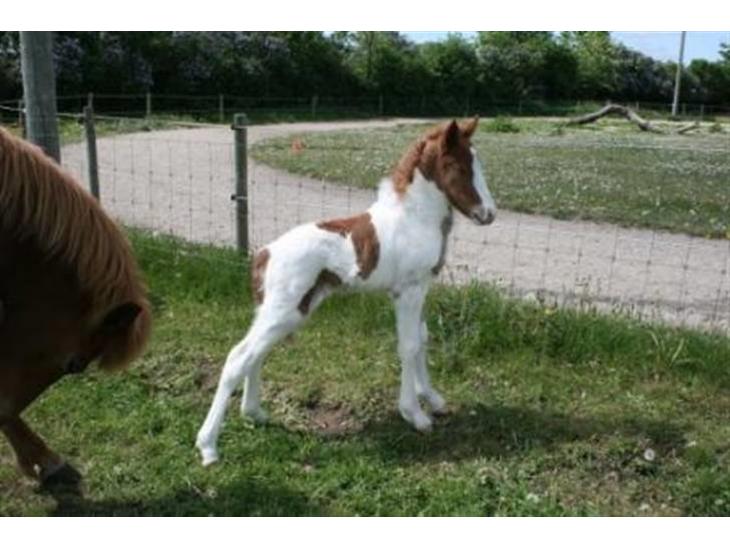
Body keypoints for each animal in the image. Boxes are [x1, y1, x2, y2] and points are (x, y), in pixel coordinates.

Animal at [196, 118, 496, 466]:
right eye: (457, 166)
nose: (489, 214)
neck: (412, 218)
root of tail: (264, 253)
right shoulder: (407, 291)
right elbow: (408, 346)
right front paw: (415, 415)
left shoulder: (420, 288)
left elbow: (422, 339)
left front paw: (432, 399)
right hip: (284, 310)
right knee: (238, 357)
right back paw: (208, 445)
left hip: (289, 311)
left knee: (255, 353)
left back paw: (254, 413)